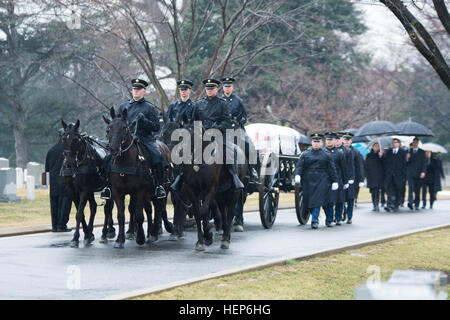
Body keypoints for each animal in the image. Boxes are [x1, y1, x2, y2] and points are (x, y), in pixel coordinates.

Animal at [60, 120, 115, 248]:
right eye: (63, 138)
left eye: (76, 139)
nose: (69, 162)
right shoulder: (72, 190)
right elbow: (80, 213)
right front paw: (87, 235)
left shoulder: (84, 190)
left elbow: (79, 213)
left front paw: (76, 238)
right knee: (94, 207)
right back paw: (91, 232)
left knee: (108, 208)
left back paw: (105, 233)